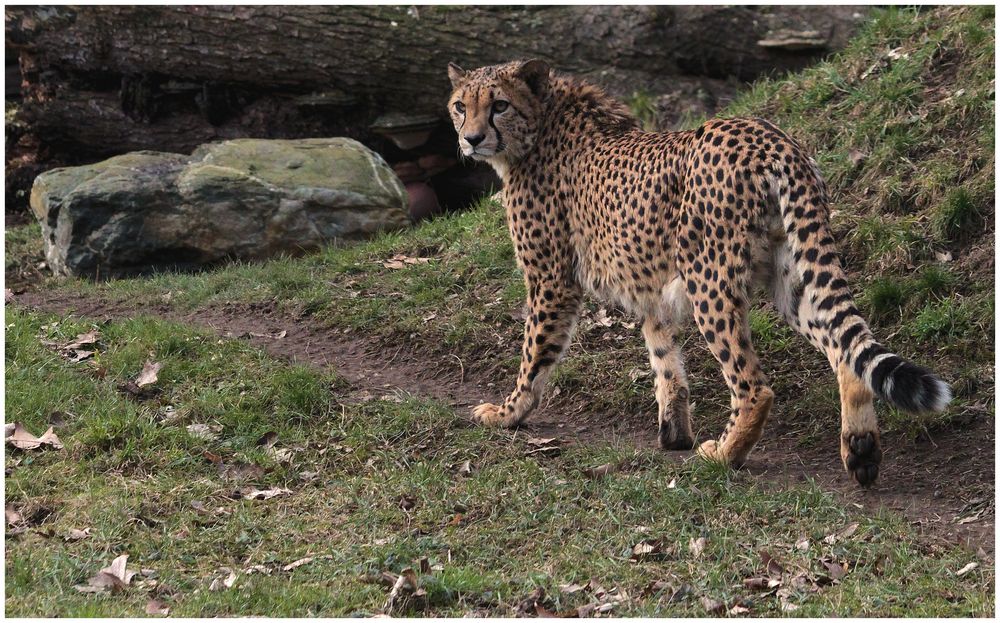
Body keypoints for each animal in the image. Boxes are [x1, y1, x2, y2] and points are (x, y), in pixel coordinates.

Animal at [448, 59, 952, 488]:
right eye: (460, 106)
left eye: (499, 105)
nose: (471, 138)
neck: (540, 125)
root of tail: (768, 135)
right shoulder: (648, 286)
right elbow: (664, 361)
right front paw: (673, 432)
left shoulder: (552, 280)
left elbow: (534, 355)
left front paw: (507, 414)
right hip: (790, 275)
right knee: (843, 347)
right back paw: (860, 449)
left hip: (709, 277)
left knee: (754, 386)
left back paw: (724, 454)